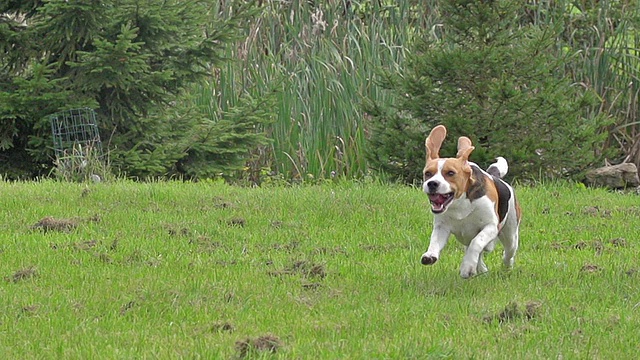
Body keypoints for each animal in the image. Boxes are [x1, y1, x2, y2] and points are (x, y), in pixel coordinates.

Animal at [420, 125, 520, 280]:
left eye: (450, 173)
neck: (459, 203)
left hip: (511, 234)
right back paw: (481, 269)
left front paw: (467, 267)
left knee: (508, 253)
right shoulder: (441, 227)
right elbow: (435, 241)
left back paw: (506, 267)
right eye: (428, 173)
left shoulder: (490, 226)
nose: (432, 184)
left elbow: (476, 242)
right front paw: (430, 255)